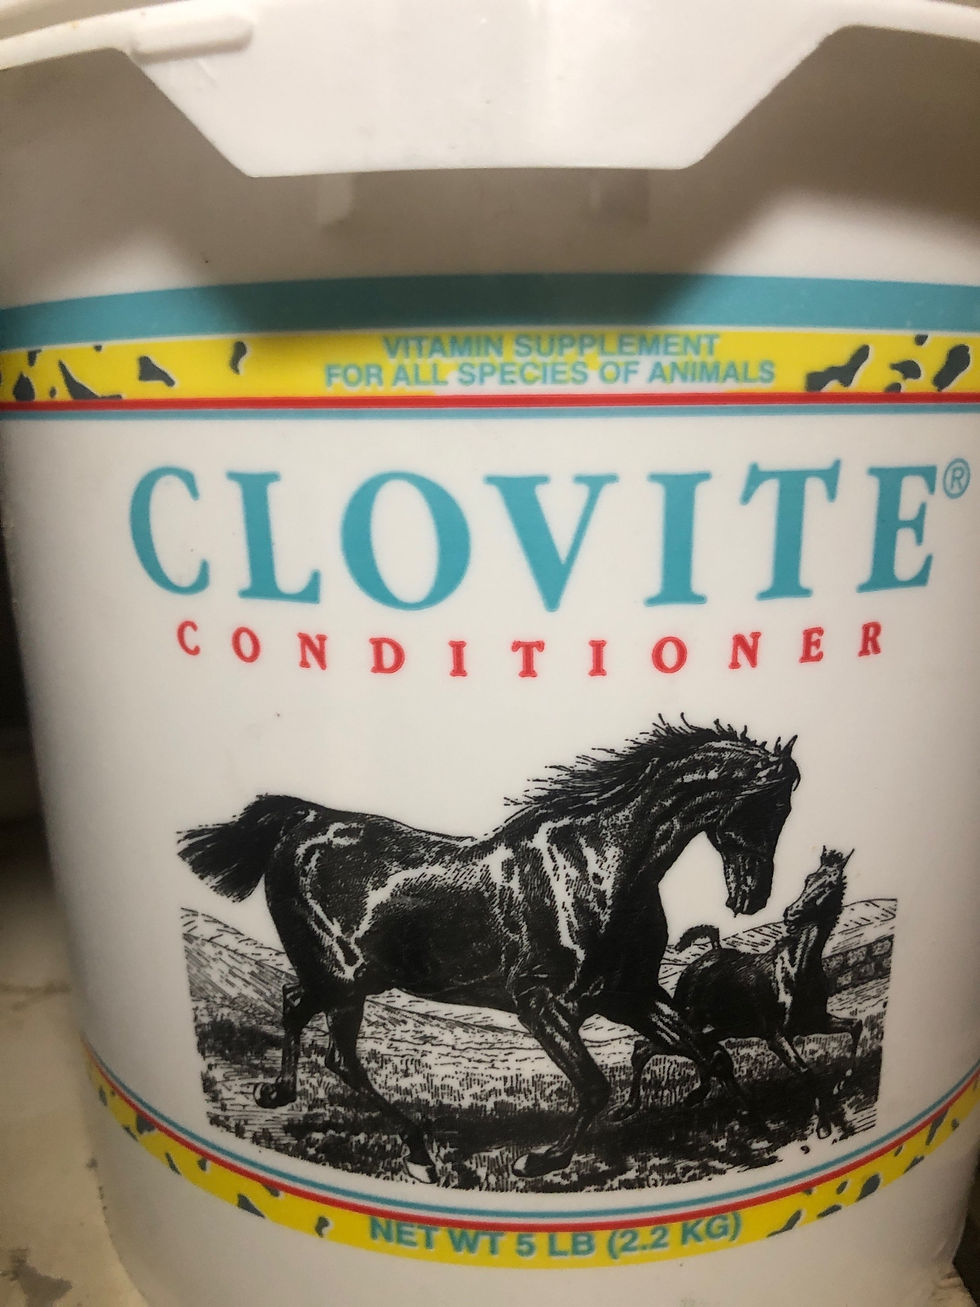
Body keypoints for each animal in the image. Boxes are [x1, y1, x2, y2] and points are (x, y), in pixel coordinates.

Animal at [177, 718, 799, 1183]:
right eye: (760, 807)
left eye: (785, 812)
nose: (751, 896)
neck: (600, 868)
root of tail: (302, 820)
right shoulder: (542, 1003)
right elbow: (594, 1086)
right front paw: (540, 1161)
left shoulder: (632, 995)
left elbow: (712, 1055)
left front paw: (763, 1130)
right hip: (344, 978)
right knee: (338, 1054)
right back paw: (418, 1152)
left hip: (350, 979)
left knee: (295, 1006)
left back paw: (283, 1093)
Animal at [618, 847, 858, 1139]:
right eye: (808, 879)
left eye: (830, 884)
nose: (791, 913)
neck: (796, 967)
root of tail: (707, 954)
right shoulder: (776, 1036)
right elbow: (805, 1070)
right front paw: (823, 1125)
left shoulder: (814, 1022)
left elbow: (855, 1026)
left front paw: (842, 1084)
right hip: (691, 1023)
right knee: (646, 1048)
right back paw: (634, 1106)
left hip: (721, 1028)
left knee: (703, 1054)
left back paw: (712, 1099)